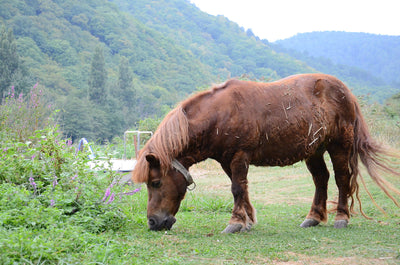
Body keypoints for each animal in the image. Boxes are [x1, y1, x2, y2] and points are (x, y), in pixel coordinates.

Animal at [133, 73, 400, 232]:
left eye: (155, 183)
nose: (153, 222)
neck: (220, 114)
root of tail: (346, 92)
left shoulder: (239, 156)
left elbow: (237, 188)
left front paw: (235, 223)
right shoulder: (227, 161)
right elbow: (241, 189)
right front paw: (248, 220)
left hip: (339, 146)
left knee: (342, 179)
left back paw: (341, 217)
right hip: (314, 150)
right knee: (321, 179)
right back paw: (313, 217)